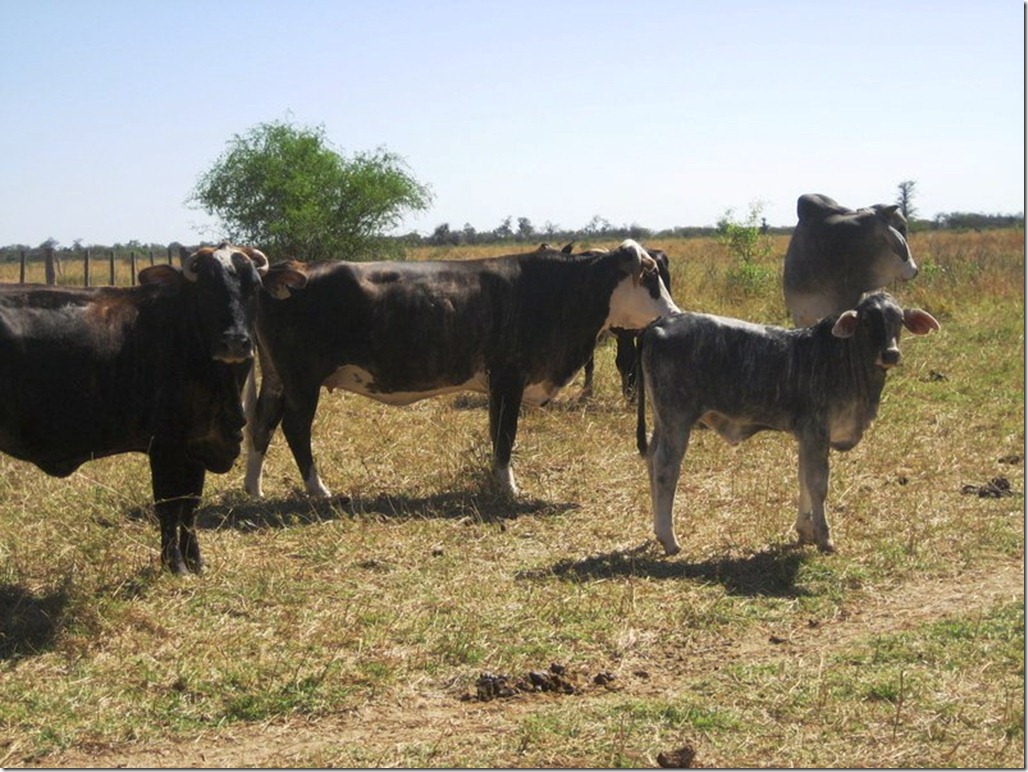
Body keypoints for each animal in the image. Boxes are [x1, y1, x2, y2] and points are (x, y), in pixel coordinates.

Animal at [0, 241, 269, 575]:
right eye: (206, 289)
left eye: (254, 286)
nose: (234, 342)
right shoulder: (165, 446)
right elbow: (169, 506)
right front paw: (175, 565)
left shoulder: (198, 443)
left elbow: (190, 505)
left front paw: (196, 561)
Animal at [246, 238, 682, 497]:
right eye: (650, 276)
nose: (675, 314)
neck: (553, 289)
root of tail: (283, 272)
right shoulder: (509, 377)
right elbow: (504, 435)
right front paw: (509, 488)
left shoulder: (499, 384)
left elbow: (496, 433)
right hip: (302, 381)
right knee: (294, 428)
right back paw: (318, 489)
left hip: (277, 380)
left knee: (262, 424)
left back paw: (254, 486)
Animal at [633, 291, 941, 559]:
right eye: (866, 320)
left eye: (898, 319)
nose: (891, 354)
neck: (843, 360)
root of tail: (660, 324)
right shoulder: (817, 431)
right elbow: (818, 483)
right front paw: (825, 537)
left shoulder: (807, 435)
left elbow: (803, 476)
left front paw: (806, 530)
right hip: (677, 419)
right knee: (665, 468)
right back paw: (670, 539)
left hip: (663, 420)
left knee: (651, 459)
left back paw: (658, 531)